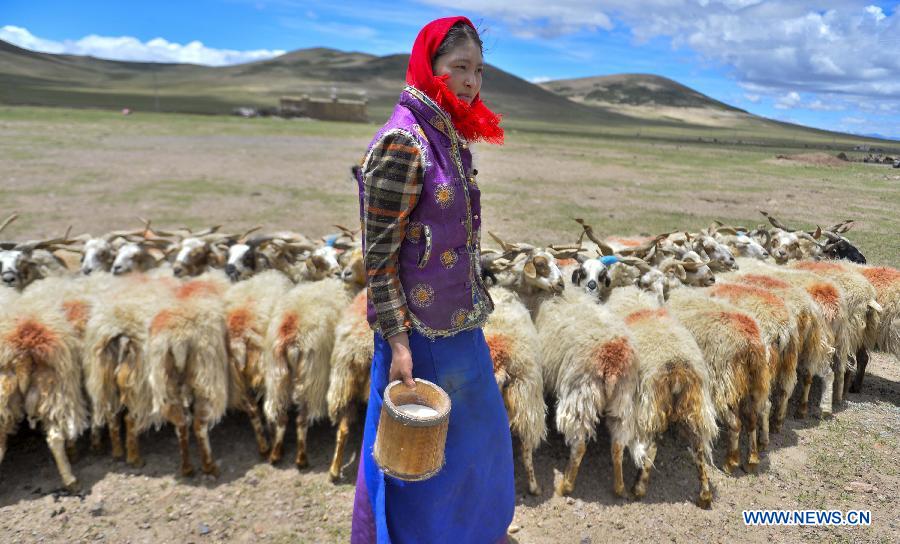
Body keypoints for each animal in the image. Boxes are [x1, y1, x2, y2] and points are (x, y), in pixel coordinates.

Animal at [146, 272, 230, 476]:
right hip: (206, 373)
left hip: (164, 378)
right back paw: (209, 465)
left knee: (181, 423)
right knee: (199, 424)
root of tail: (176, 339)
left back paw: (186, 467)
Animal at [604, 286, 716, 508]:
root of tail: (677, 368)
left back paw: (637, 488)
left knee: (650, 446)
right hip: (694, 405)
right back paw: (704, 494)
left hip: (649, 405)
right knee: (698, 448)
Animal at [664, 292, 768, 474]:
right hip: (754, 384)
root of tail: (750, 345)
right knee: (752, 418)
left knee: (735, 423)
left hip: (722, 385)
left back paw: (730, 462)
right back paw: (751, 460)